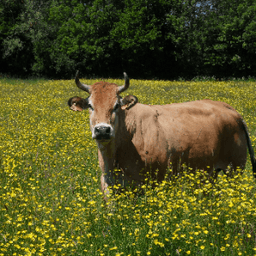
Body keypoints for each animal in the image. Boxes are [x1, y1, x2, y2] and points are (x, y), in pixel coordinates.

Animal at [68, 72, 256, 198]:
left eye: (116, 106)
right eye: (90, 106)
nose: (102, 130)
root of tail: (230, 109)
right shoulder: (108, 186)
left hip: (235, 169)